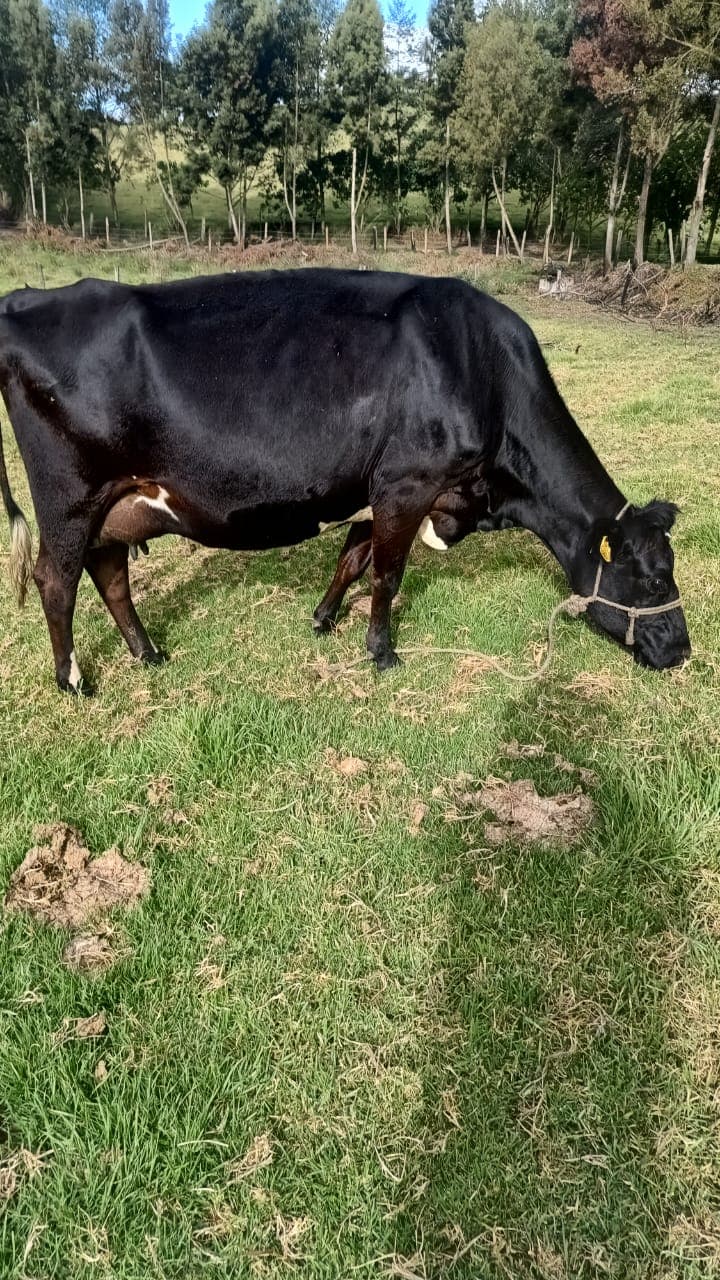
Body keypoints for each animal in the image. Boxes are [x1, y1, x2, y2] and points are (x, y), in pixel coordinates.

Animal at [0, 268, 689, 694]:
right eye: (656, 579)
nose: (682, 651)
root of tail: (23, 299)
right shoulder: (408, 483)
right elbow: (387, 573)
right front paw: (381, 653)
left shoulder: (379, 488)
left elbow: (353, 556)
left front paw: (324, 619)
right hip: (68, 498)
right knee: (56, 581)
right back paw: (73, 681)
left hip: (116, 503)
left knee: (110, 574)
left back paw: (148, 654)